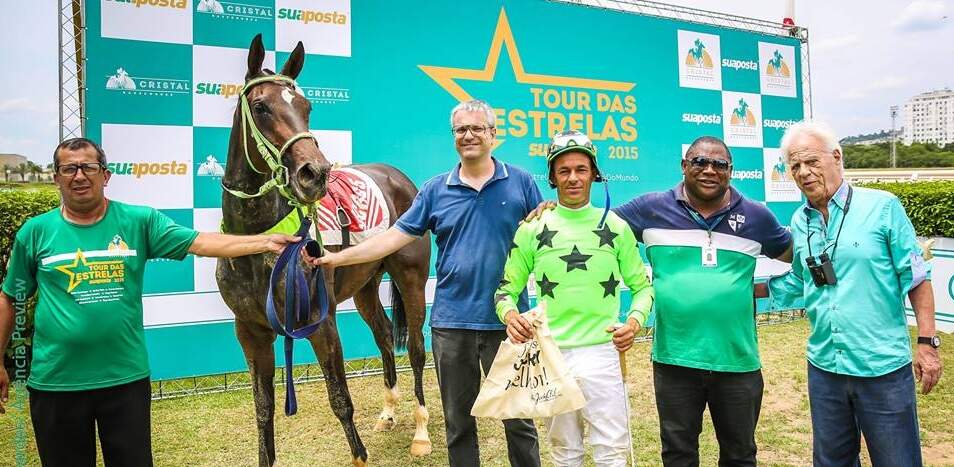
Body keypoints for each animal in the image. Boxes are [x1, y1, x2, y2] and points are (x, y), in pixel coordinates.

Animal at [216, 34, 432, 466]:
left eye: (306, 107)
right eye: (261, 106)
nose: (314, 173)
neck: (257, 241)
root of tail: (401, 179)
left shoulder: (321, 321)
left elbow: (340, 400)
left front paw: (361, 455)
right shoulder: (250, 332)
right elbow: (263, 410)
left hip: (412, 279)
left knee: (416, 348)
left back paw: (420, 433)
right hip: (365, 286)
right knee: (384, 335)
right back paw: (388, 412)